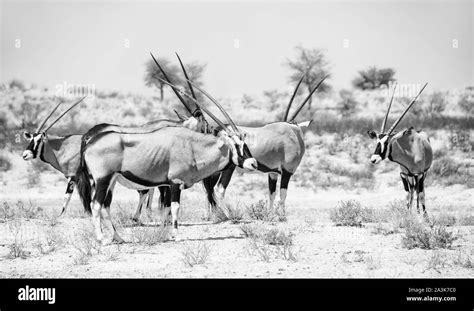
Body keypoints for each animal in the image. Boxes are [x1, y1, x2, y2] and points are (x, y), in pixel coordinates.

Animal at [75, 87, 258, 244]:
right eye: (236, 144)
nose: (253, 163)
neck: (191, 146)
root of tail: (89, 142)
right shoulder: (175, 183)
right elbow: (175, 207)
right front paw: (175, 235)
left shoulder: (167, 185)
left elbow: (166, 208)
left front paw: (165, 232)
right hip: (102, 180)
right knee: (95, 205)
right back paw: (101, 239)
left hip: (111, 181)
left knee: (105, 206)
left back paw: (118, 238)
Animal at [366, 83, 434, 217]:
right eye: (377, 141)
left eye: (386, 142)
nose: (373, 159)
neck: (409, 153)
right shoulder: (403, 174)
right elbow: (407, 195)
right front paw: (408, 215)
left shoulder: (420, 174)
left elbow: (421, 194)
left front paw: (425, 217)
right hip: (410, 176)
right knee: (413, 191)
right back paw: (415, 211)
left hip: (423, 174)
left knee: (419, 191)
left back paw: (419, 211)